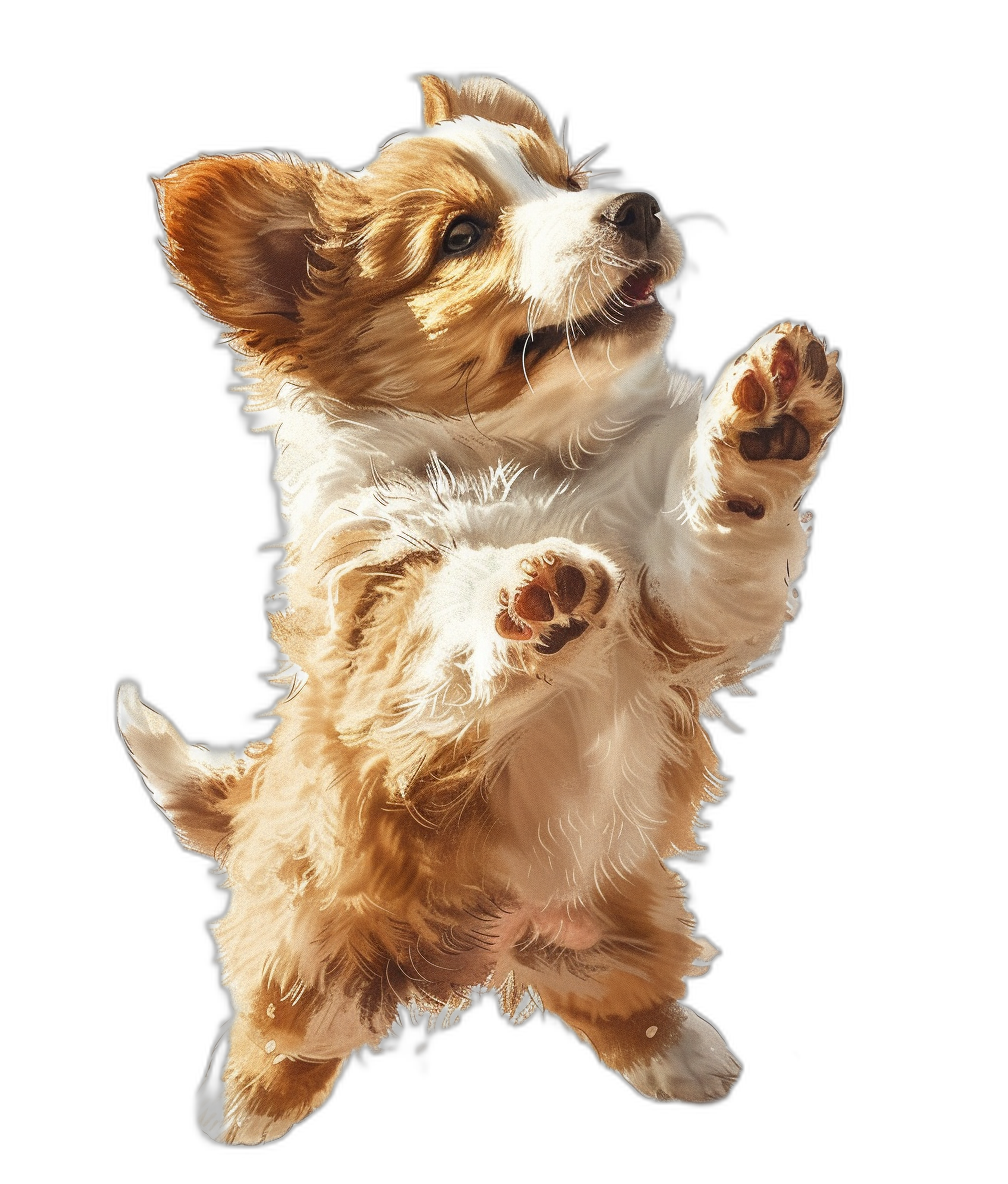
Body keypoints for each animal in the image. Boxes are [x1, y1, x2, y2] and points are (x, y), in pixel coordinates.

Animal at [116, 76, 843, 1146]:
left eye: (570, 182)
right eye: (461, 236)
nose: (637, 209)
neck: (537, 462)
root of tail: (489, 947)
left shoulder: (680, 611)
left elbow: (709, 530)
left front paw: (762, 424)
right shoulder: (373, 625)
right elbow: (438, 614)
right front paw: (527, 589)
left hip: (626, 914)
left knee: (621, 996)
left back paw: (684, 1058)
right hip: (306, 955)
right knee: (281, 1032)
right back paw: (243, 1113)